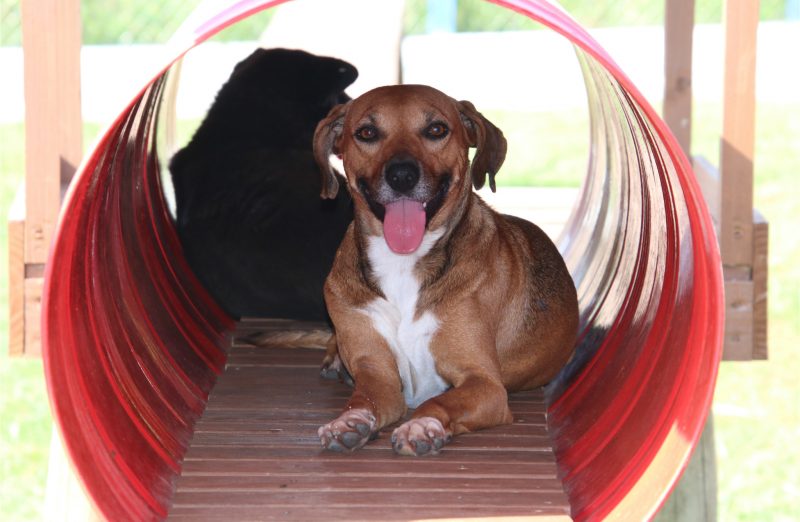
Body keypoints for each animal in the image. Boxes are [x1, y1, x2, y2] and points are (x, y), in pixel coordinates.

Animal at [310, 83, 576, 452]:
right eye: (366, 133)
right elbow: (363, 400)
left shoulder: (485, 383)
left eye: (436, 130)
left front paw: (423, 425)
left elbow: (441, 401)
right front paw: (348, 421)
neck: (403, 261)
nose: (402, 176)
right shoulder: (378, 374)